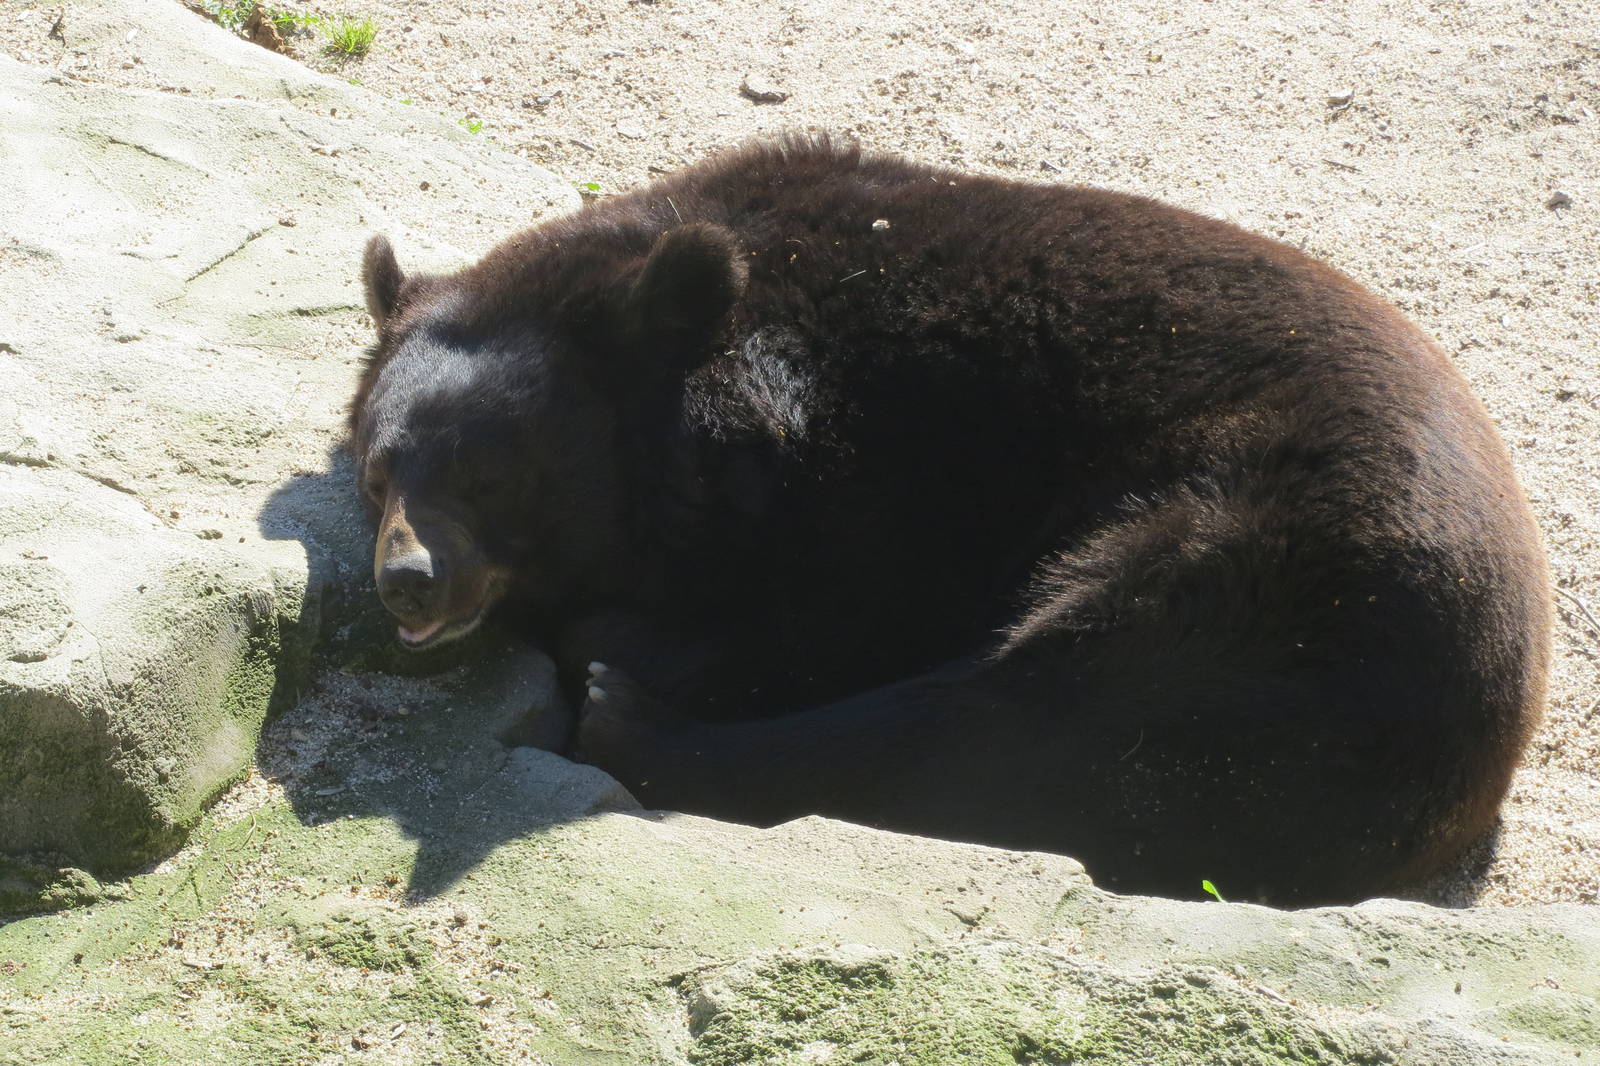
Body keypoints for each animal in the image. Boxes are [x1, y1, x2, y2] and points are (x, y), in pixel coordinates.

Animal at [349, 135, 1550, 906]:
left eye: (493, 475)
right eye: (377, 472)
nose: (409, 578)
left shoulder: (882, 476)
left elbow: (820, 616)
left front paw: (624, 647)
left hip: (1270, 583)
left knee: (1029, 722)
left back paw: (631, 715)